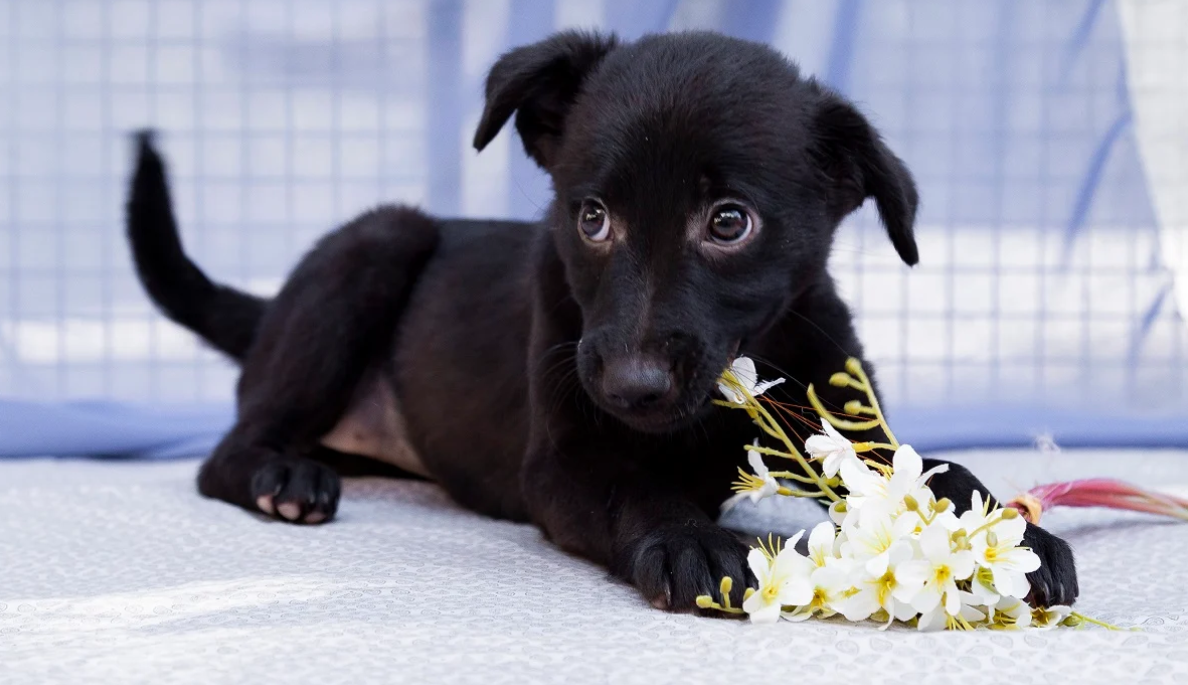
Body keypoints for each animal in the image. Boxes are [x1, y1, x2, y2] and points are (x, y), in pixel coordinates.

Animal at [127, 30, 1078, 607]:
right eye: (592, 217)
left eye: (728, 222)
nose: (631, 384)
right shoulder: (564, 459)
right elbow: (636, 488)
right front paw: (689, 540)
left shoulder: (850, 420)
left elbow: (936, 473)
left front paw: (1008, 533)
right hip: (375, 243)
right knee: (228, 449)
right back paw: (281, 476)